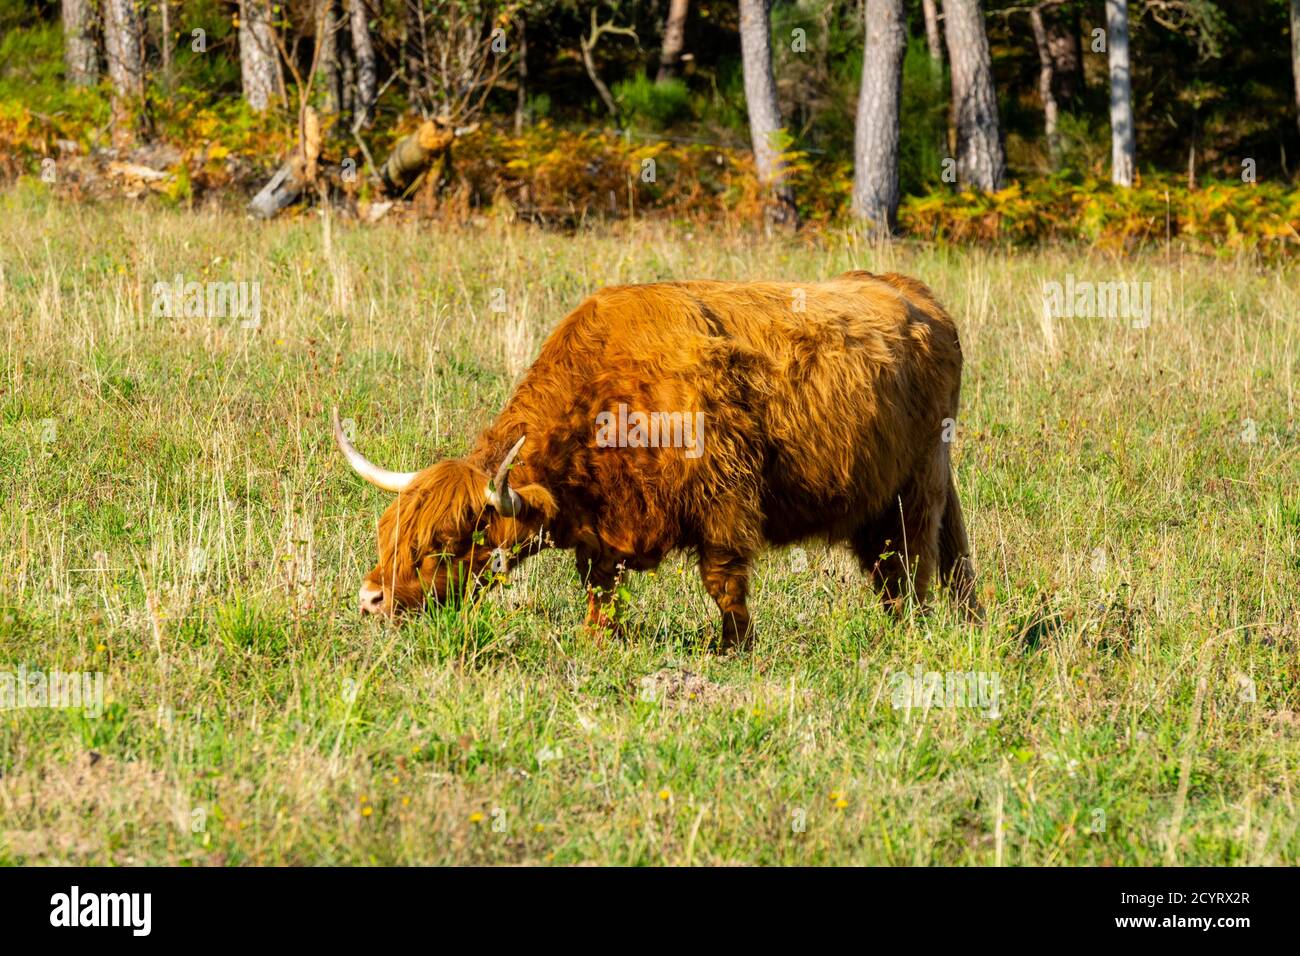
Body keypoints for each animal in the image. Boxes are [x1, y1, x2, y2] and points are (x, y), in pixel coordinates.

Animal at [334, 270, 980, 649]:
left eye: (443, 541)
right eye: (387, 530)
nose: (371, 599)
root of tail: (913, 292)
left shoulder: (724, 501)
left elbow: (725, 584)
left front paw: (733, 648)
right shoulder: (602, 530)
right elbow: (601, 587)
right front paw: (599, 641)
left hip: (919, 484)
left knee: (912, 563)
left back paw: (907, 632)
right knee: (896, 566)